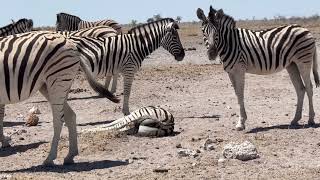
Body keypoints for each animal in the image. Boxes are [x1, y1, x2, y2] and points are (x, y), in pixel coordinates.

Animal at [0, 30, 117, 165]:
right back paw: (70, 155)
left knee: (58, 120)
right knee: (70, 115)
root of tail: (71, 43)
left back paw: (50, 158)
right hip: (52, 85)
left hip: (57, 80)